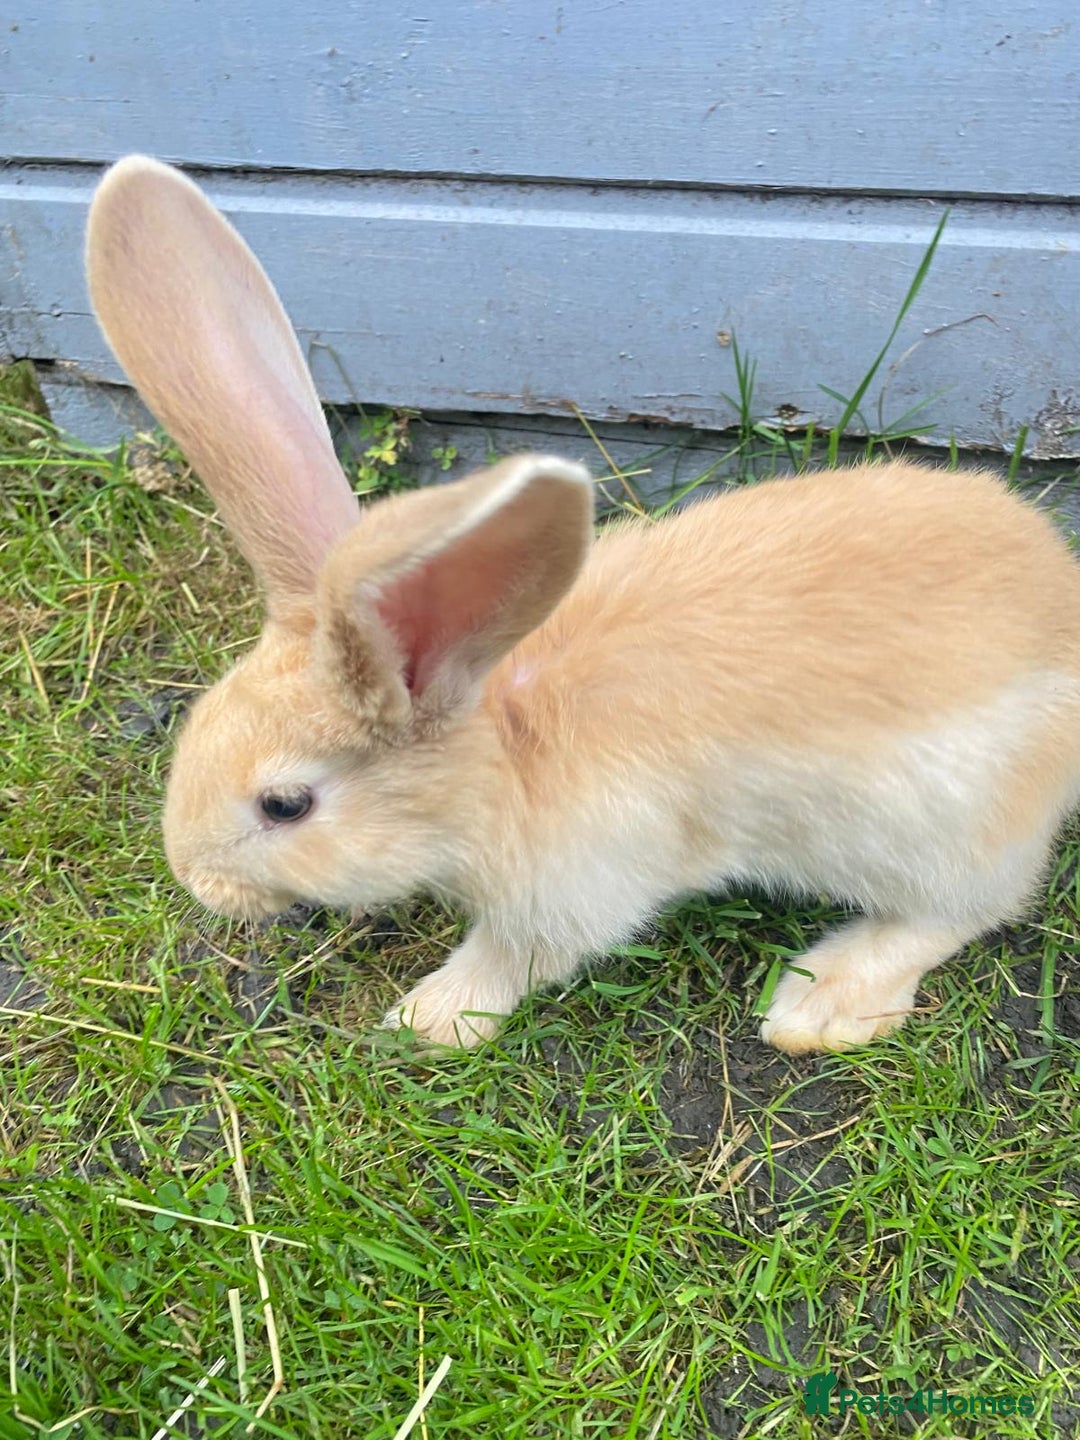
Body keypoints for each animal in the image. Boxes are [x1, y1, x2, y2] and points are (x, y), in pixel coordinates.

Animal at [85, 155, 1080, 1054]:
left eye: (285, 805)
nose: (197, 879)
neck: (500, 747)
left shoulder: (573, 891)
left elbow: (515, 957)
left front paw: (428, 1021)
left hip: (946, 830)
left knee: (970, 908)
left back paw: (819, 1001)